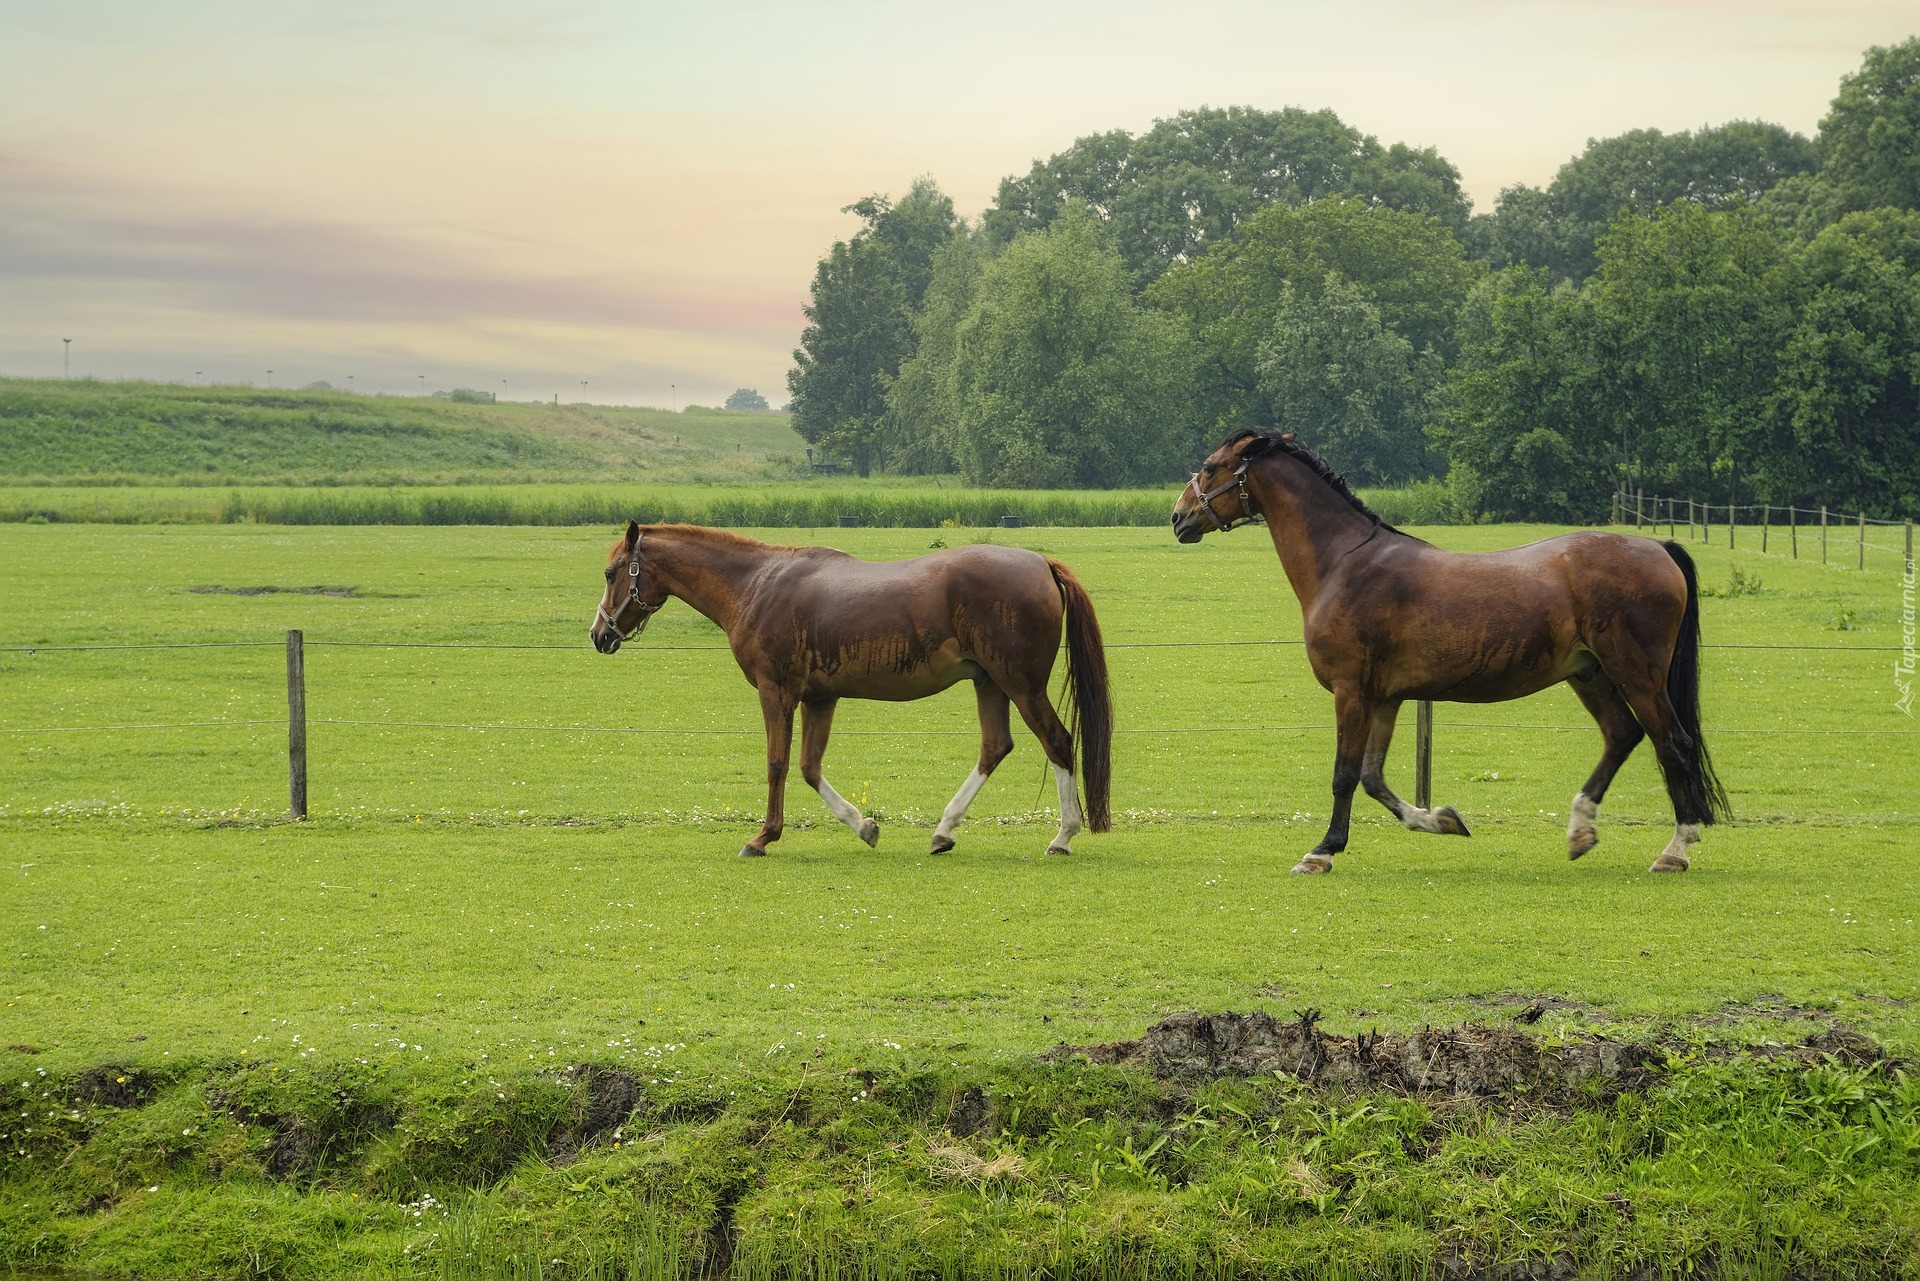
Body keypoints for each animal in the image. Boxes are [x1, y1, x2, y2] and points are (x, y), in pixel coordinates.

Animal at [583, 522, 1113, 860]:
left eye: (611, 574)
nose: (599, 634)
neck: (756, 585)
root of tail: (1041, 563)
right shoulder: (820, 698)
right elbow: (809, 767)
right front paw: (864, 827)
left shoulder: (777, 692)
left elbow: (777, 764)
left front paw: (763, 838)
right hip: (991, 685)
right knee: (995, 747)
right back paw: (944, 831)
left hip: (1021, 685)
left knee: (1058, 742)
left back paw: (1063, 836)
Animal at [1167, 435, 1728, 875]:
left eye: (1211, 466)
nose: (1178, 517)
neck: (1344, 565)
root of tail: (1657, 548)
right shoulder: (1385, 698)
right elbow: (1373, 778)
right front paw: (1441, 820)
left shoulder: (1351, 692)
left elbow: (1344, 775)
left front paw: (1322, 852)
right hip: (1590, 674)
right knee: (1622, 735)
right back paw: (1581, 831)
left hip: (1638, 674)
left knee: (1673, 744)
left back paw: (1675, 851)